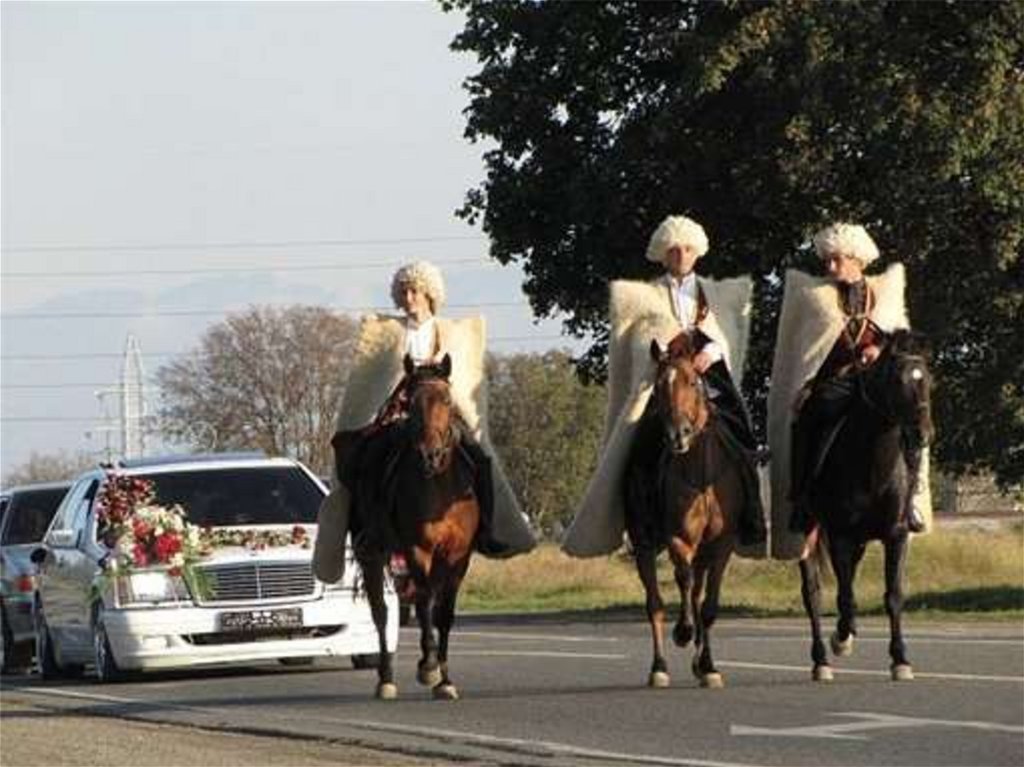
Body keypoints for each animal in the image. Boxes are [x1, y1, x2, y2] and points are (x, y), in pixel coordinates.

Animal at [352, 352, 479, 700]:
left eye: (447, 400)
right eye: (410, 402)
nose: (429, 455)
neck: (439, 487)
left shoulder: (458, 556)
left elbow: (443, 613)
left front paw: (445, 680)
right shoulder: (416, 550)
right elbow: (423, 604)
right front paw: (429, 666)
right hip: (372, 554)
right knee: (381, 613)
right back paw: (385, 679)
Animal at [622, 329, 745, 688]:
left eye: (693, 381)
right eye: (660, 385)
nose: (678, 435)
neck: (701, 475)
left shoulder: (722, 543)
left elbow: (709, 604)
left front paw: (709, 666)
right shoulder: (678, 538)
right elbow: (684, 581)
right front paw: (683, 631)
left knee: (697, 593)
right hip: (643, 541)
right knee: (655, 603)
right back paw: (659, 667)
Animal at [794, 329, 933, 684]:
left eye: (927, 377)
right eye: (897, 380)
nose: (922, 434)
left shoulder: (896, 535)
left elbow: (893, 596)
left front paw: (900, 659)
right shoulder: (840, 536)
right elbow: (845, 597)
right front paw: (841, 638)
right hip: (809, 534)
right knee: (813, 593)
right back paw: (821, 660)